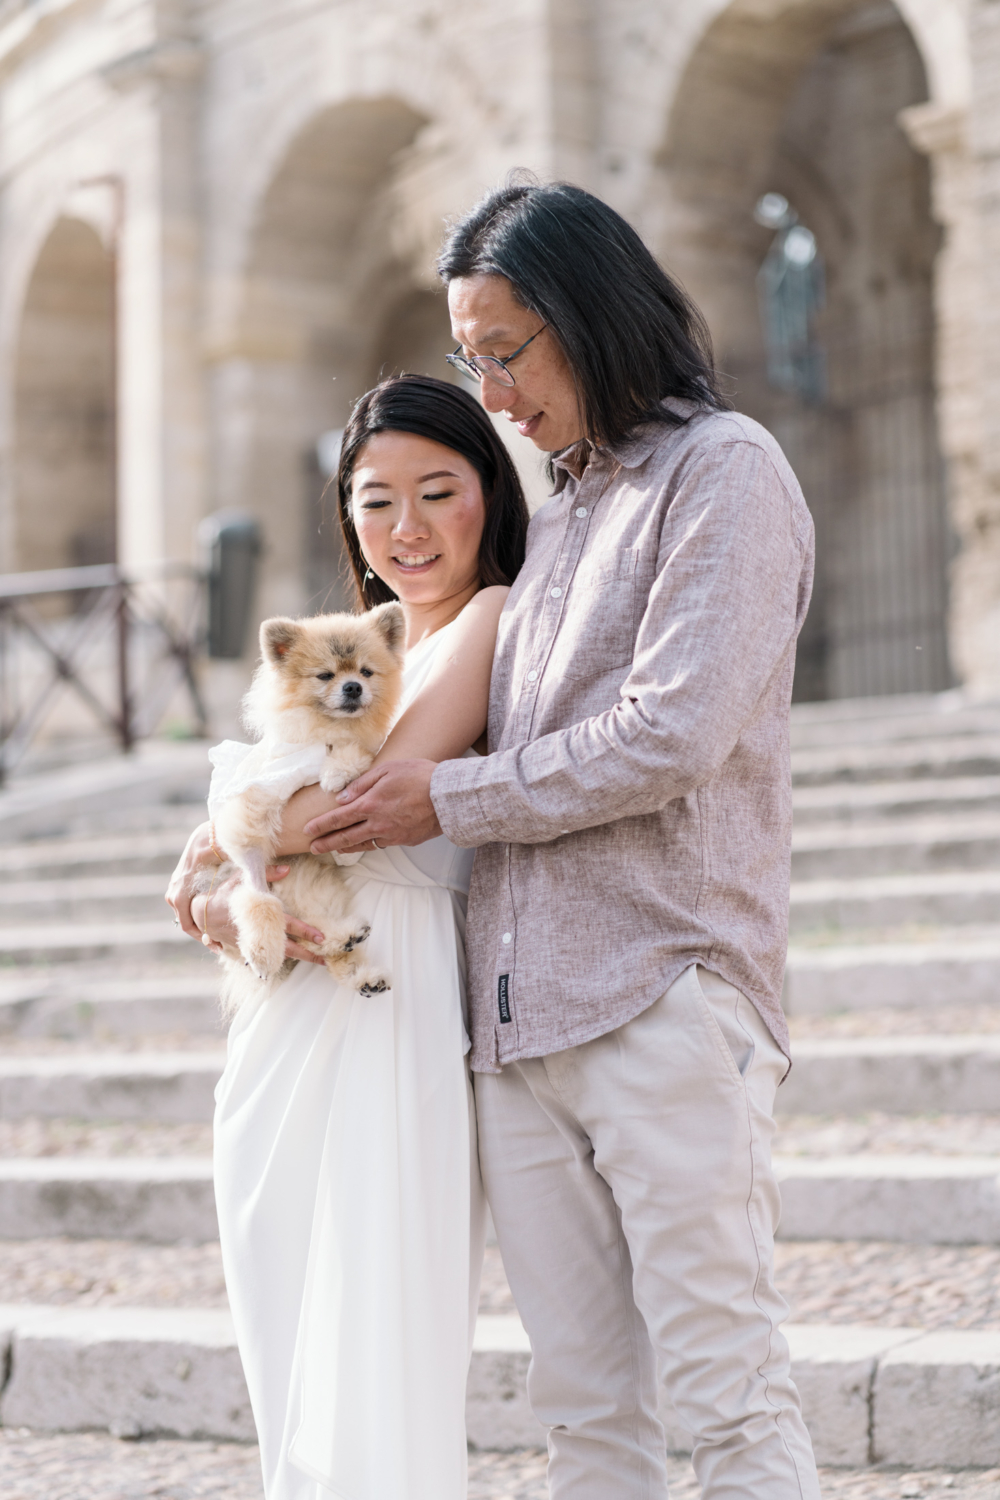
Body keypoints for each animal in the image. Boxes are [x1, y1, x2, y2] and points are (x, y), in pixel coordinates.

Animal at [200, 603, 404, 1014]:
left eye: (366, 672)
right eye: (325, 675)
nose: (352, 687)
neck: (325, 732)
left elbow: (356, 755)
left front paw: (337, 770)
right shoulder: (252, 808)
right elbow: (257, 895)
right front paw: (262, 949)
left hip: (317, 894)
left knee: (322, 947)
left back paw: (356, 959)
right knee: (306, 938)